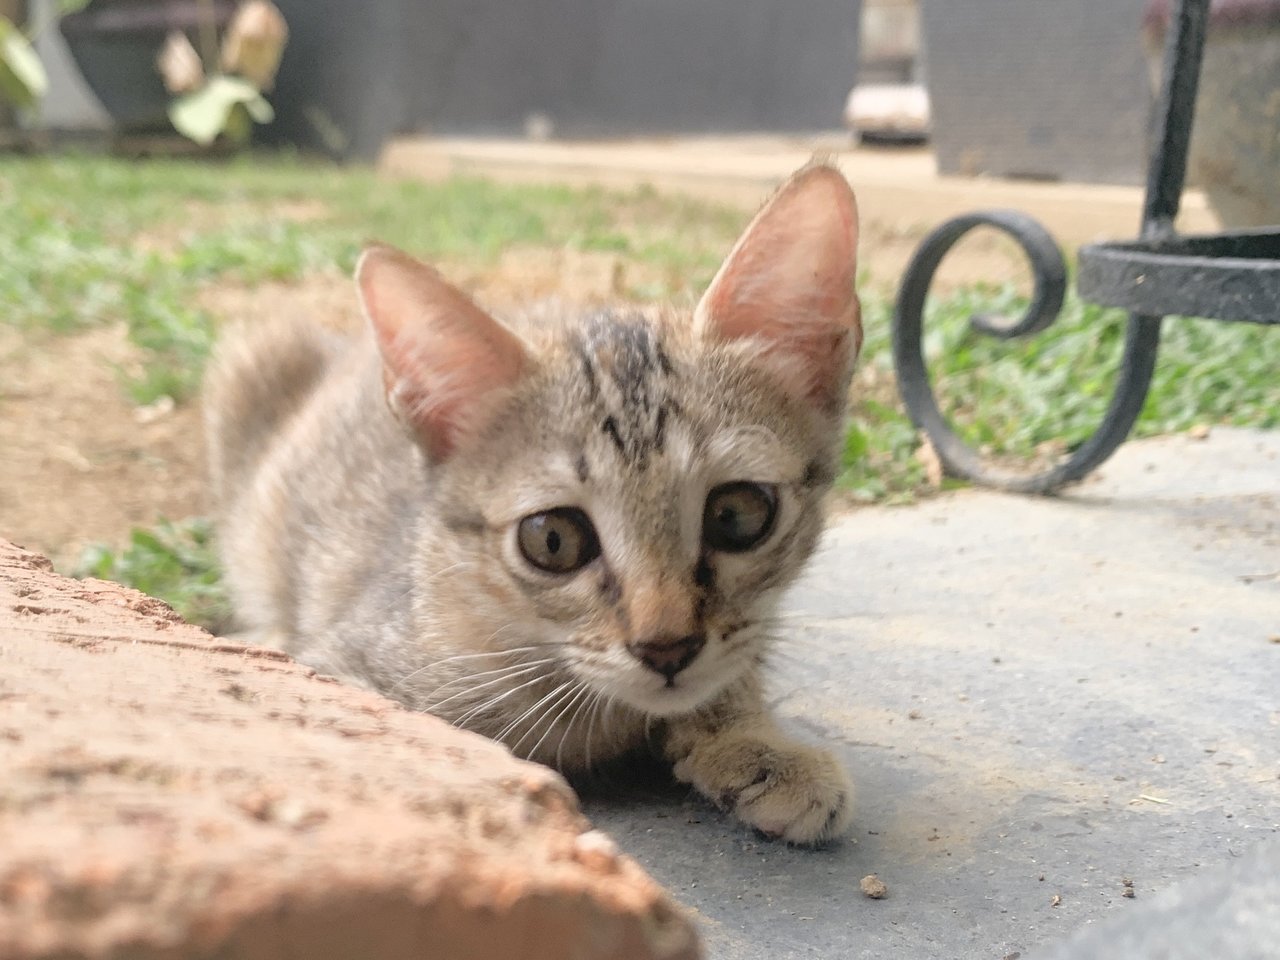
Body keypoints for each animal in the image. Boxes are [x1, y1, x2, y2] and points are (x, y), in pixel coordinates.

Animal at [204, 161, 865, 844]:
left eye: (736, 516)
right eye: (552, 540)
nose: (667, 648)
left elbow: (735, 668)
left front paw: (753, 742)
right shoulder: (345, 667)